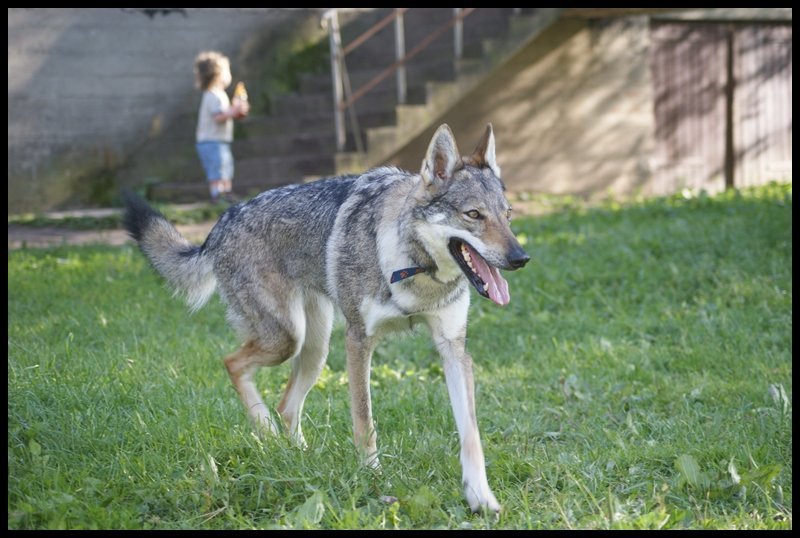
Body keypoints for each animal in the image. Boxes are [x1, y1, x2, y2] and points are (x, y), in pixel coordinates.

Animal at [123, 124, 529, 513]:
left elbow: (471, 434)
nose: (521, 257)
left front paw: (480, 497)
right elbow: (365, 421)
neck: (414, 268)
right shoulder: (359, 341)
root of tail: (218, 226)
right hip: (286, 339)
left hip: (315, 350)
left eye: (507, 215)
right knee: (233, 363)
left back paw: (299, 456)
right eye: (474, 215)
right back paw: (267, 433)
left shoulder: (453, 349)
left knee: (286, 405)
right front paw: (374, 480)